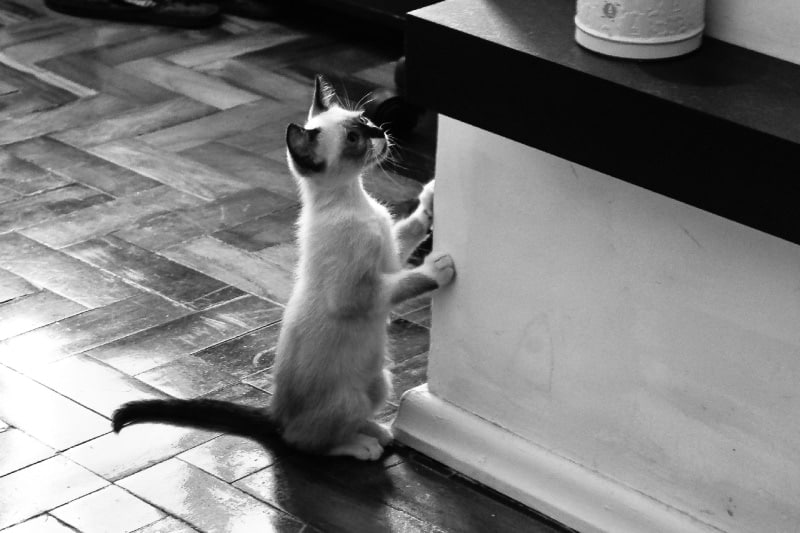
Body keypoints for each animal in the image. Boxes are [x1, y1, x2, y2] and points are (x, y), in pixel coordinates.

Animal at [111, 76, 456, 462]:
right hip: (346, 399)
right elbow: (404, 283)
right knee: (306, 441)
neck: (354, 200)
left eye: (365, 120)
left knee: (339, 423)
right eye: (354, 139)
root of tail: (276, 412)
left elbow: (409, 231)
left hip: (381, 381)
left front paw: (430, 201)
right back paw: (361, 445)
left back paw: (375, 430)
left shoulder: (391, 255)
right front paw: (438, 269)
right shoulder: (358, 292)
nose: (380, 131)